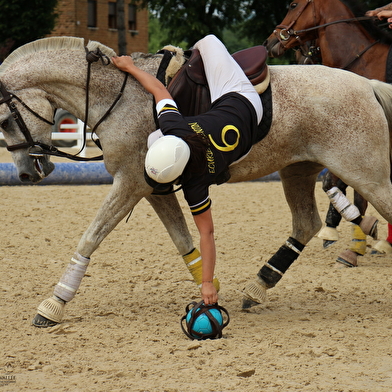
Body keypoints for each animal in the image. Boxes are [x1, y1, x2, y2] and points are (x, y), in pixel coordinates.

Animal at [264, 0, 392, 266]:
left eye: (293, 5)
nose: (270, 42)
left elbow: (355, 193)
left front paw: (354, 247)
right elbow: (333, 184)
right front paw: (337, 230)